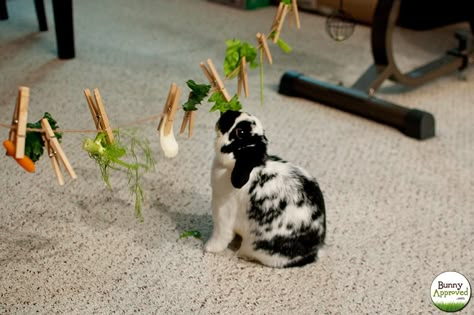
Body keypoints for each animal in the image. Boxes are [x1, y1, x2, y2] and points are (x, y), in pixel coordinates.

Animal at [206, 111, 328, 270]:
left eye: (240, 132)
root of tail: (312, 253)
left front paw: (208, 248)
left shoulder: (224, 212)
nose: (227, 113)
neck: (232, 166)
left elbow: (221, 235)